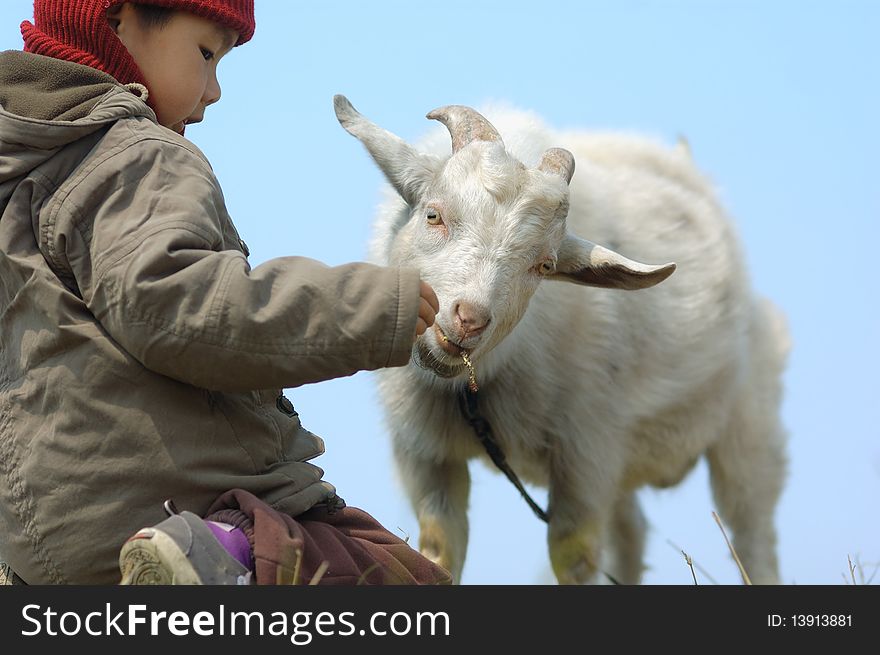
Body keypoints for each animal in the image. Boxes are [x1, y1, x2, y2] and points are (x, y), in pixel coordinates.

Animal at [336, 93, 792, 584]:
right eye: (433, 214)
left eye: (545, 266)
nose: (469, 320)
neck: (471, 392)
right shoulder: (425, 455)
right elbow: (438, 548)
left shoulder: (584, 453)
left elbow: (574, 555)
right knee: (632, 530)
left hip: (747, 427)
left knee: (751, 532)